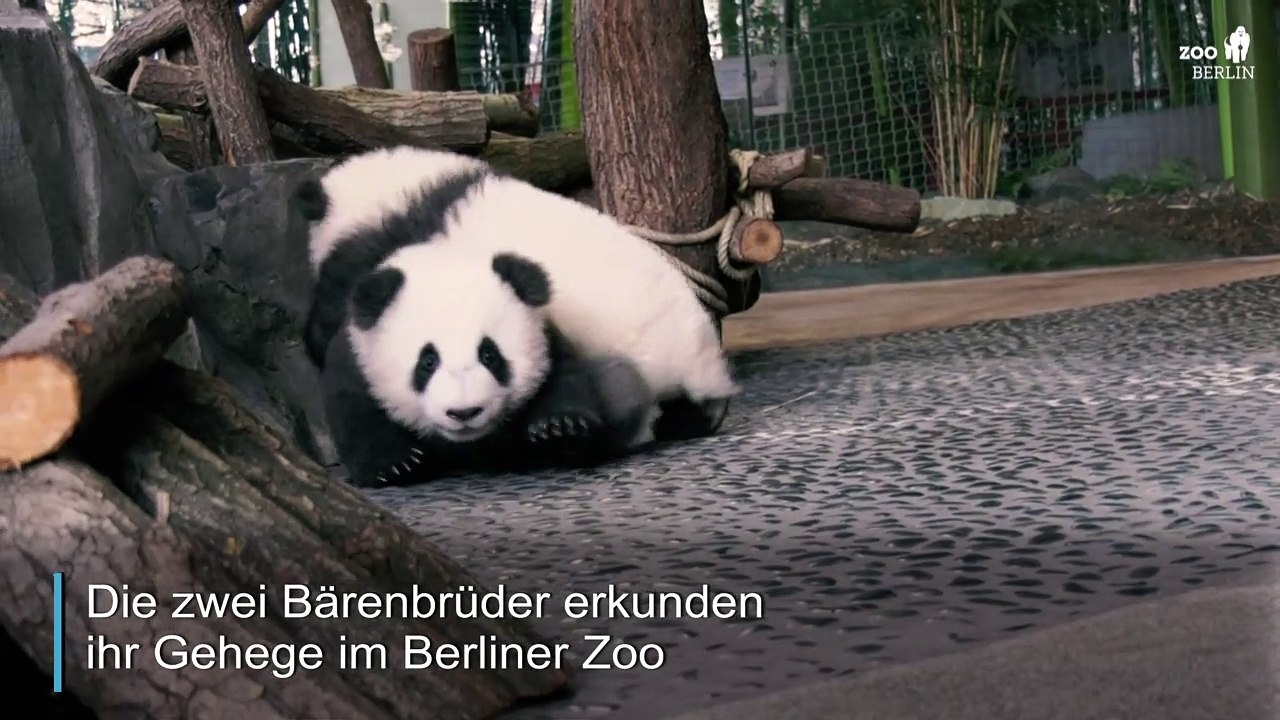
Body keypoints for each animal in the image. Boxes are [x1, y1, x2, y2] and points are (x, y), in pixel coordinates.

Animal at [318, 237, 659, 486]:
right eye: (427, 361)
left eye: (489, 355)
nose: (464, 412)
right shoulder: (355, 359)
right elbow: (354, 409)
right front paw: (397, 465)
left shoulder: (547, 338)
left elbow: (563, 380)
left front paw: (559, 430)